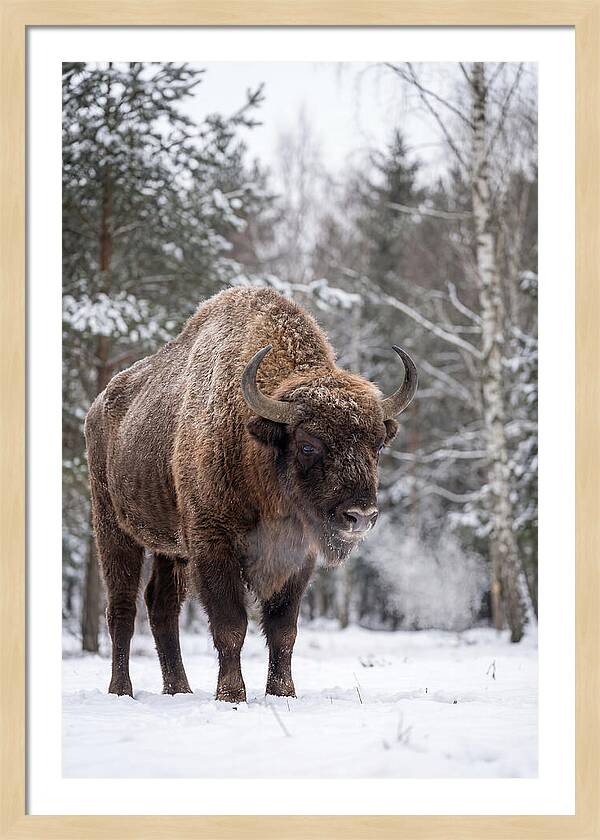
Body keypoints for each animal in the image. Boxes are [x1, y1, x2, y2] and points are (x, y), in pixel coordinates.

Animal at [85, 287, 417, 701]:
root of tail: (98, 407)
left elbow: (283, 630)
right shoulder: (213, 546)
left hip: (169, 548)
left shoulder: (297, 557)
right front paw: (231, 695)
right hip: (113, 528)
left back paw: (179, 690)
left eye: (377, 445)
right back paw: (121, 690)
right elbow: (231, 626)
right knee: (122, 609)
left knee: (161, 607)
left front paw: (283, 693)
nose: (360, 516)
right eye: (308, 444)